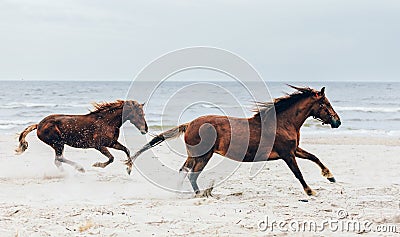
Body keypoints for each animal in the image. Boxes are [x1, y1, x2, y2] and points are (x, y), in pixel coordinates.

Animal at [15, 99, 148, 172]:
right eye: (140, 114)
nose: (145, 129)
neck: (107, 121)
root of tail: (39, 125)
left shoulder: (112, 143)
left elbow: (126, 150)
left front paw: (129, 168)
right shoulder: (99, 146)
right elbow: (111, 158)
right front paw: (97, 165)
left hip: (58, 144)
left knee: (58, 160)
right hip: (58, 143)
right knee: (59, 159)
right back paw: (78, 169)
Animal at [127, 86, 340, 197]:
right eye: (326, 104)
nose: (337, 121)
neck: (282, 122)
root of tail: (189, 124)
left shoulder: (294, 150)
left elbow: (314, 157)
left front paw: (330, 176)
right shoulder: (287, 154)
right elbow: (298, 173)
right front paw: (310, 191)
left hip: (195, 156)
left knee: (184, 171)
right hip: (203, 156)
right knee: (192, 175)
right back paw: (200, 194)